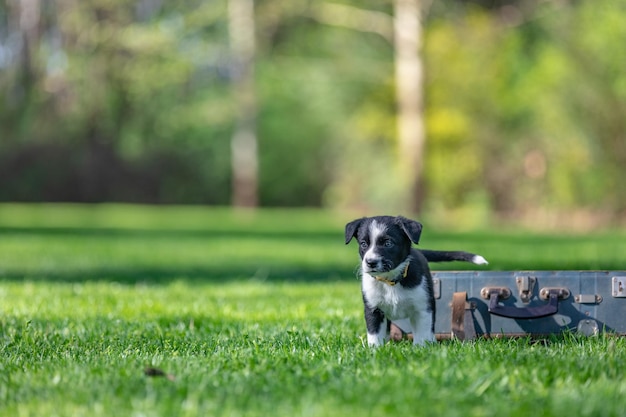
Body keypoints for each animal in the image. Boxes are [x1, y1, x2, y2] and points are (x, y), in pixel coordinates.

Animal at [344, 214, 486, 344]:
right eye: (363, 244)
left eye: (388, 243)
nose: (370, 262)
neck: (391, 281)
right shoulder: (373, 309)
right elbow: (374, 336)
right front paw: (375, 351)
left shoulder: (422, 308)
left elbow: (422, 334)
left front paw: (421, 348)